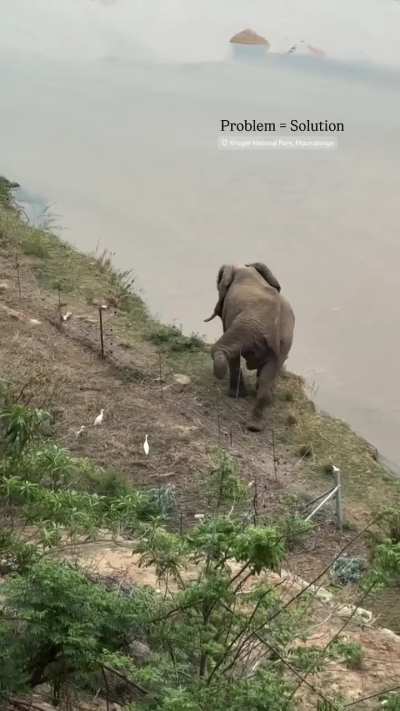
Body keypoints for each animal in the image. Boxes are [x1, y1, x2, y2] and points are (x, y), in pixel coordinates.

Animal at [204, 262, 295, 431]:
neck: (245, 268)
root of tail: (275, 326)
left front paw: (236, 395)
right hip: (284, 343)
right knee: (269, 374)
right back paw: (255, 425)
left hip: (248, 327)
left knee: (225, 350)